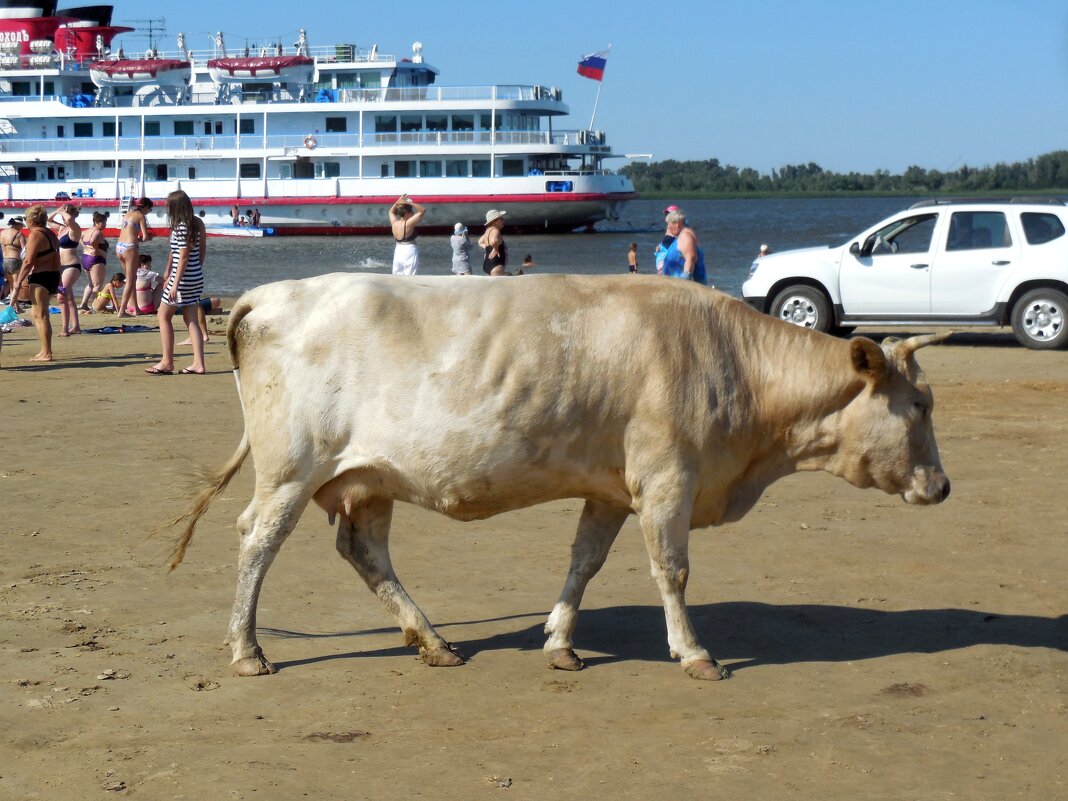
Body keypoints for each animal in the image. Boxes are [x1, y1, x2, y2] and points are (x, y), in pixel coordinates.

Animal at [168, 275, 952, 683]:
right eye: (919, 405)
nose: (943, 487)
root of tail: (269, 294)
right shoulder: (667, 478)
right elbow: (671, 570)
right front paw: (694, 652)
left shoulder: (610, 490)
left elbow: (584, 563)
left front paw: (560, 642)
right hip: (291, 469)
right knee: (257, 541)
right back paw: (248, 649)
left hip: (369, 479)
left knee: (365, 551)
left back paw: (432, 640)